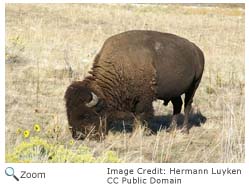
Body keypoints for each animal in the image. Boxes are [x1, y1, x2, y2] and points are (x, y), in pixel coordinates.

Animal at [64, 30, 204, 140]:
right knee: (177, 105)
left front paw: (136, 133)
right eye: (68, 113)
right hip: (174, 92)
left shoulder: (144, 99)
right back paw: (171, 129)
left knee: (187, 106)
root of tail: (197, 50)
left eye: (85, 115)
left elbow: (140, 115)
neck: (120, 66)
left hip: (194, 86)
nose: (77, 135)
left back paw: (184, 130)